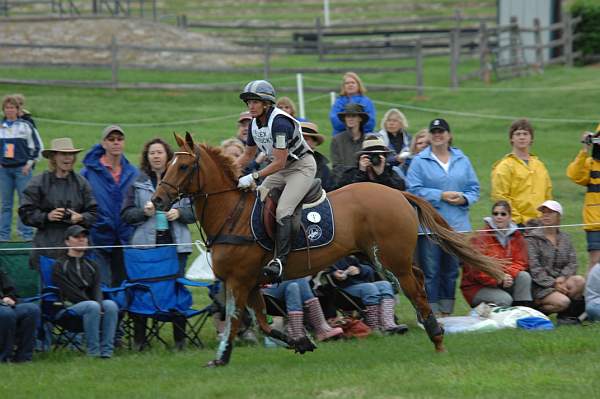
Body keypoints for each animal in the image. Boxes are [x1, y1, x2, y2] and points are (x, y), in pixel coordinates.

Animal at [152, 133, 504, 368]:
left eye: (184, 166)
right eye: (167, 162)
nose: (157, 200)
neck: (231, 213)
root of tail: (397, 194)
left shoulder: (239, 281)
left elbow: (237, 320)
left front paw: (222, 358)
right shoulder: (248, 283)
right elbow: (260, 322)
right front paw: (301, 342)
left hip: (392, 259)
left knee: (414, 289)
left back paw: (436, 336)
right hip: (383, 257)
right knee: (417, 280)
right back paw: (432, 328)